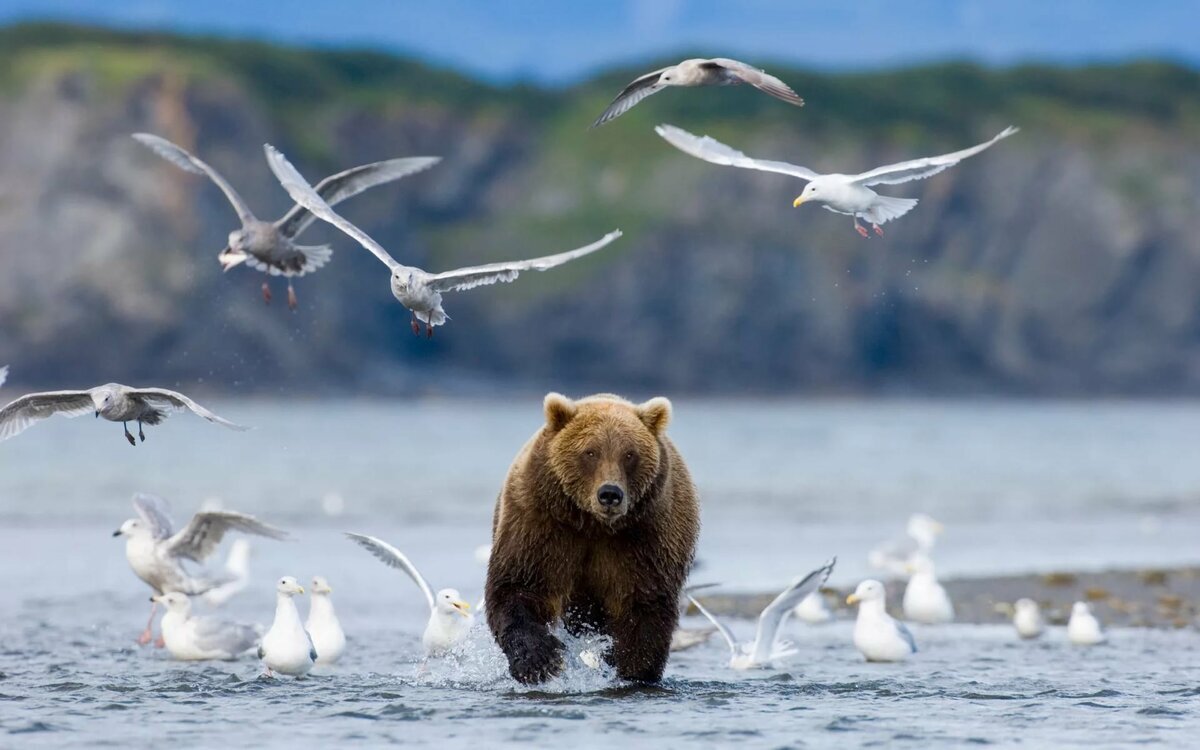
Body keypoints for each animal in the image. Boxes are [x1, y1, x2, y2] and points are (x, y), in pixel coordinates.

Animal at [482, 391, 700, 686]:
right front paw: (539, 661)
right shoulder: (541, 523)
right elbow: (520, 585)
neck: (593, 524)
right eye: (590, 452)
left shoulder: (646, 536)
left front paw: (631, 670)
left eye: (629, 454)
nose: (610, 494)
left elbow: (642, 605)